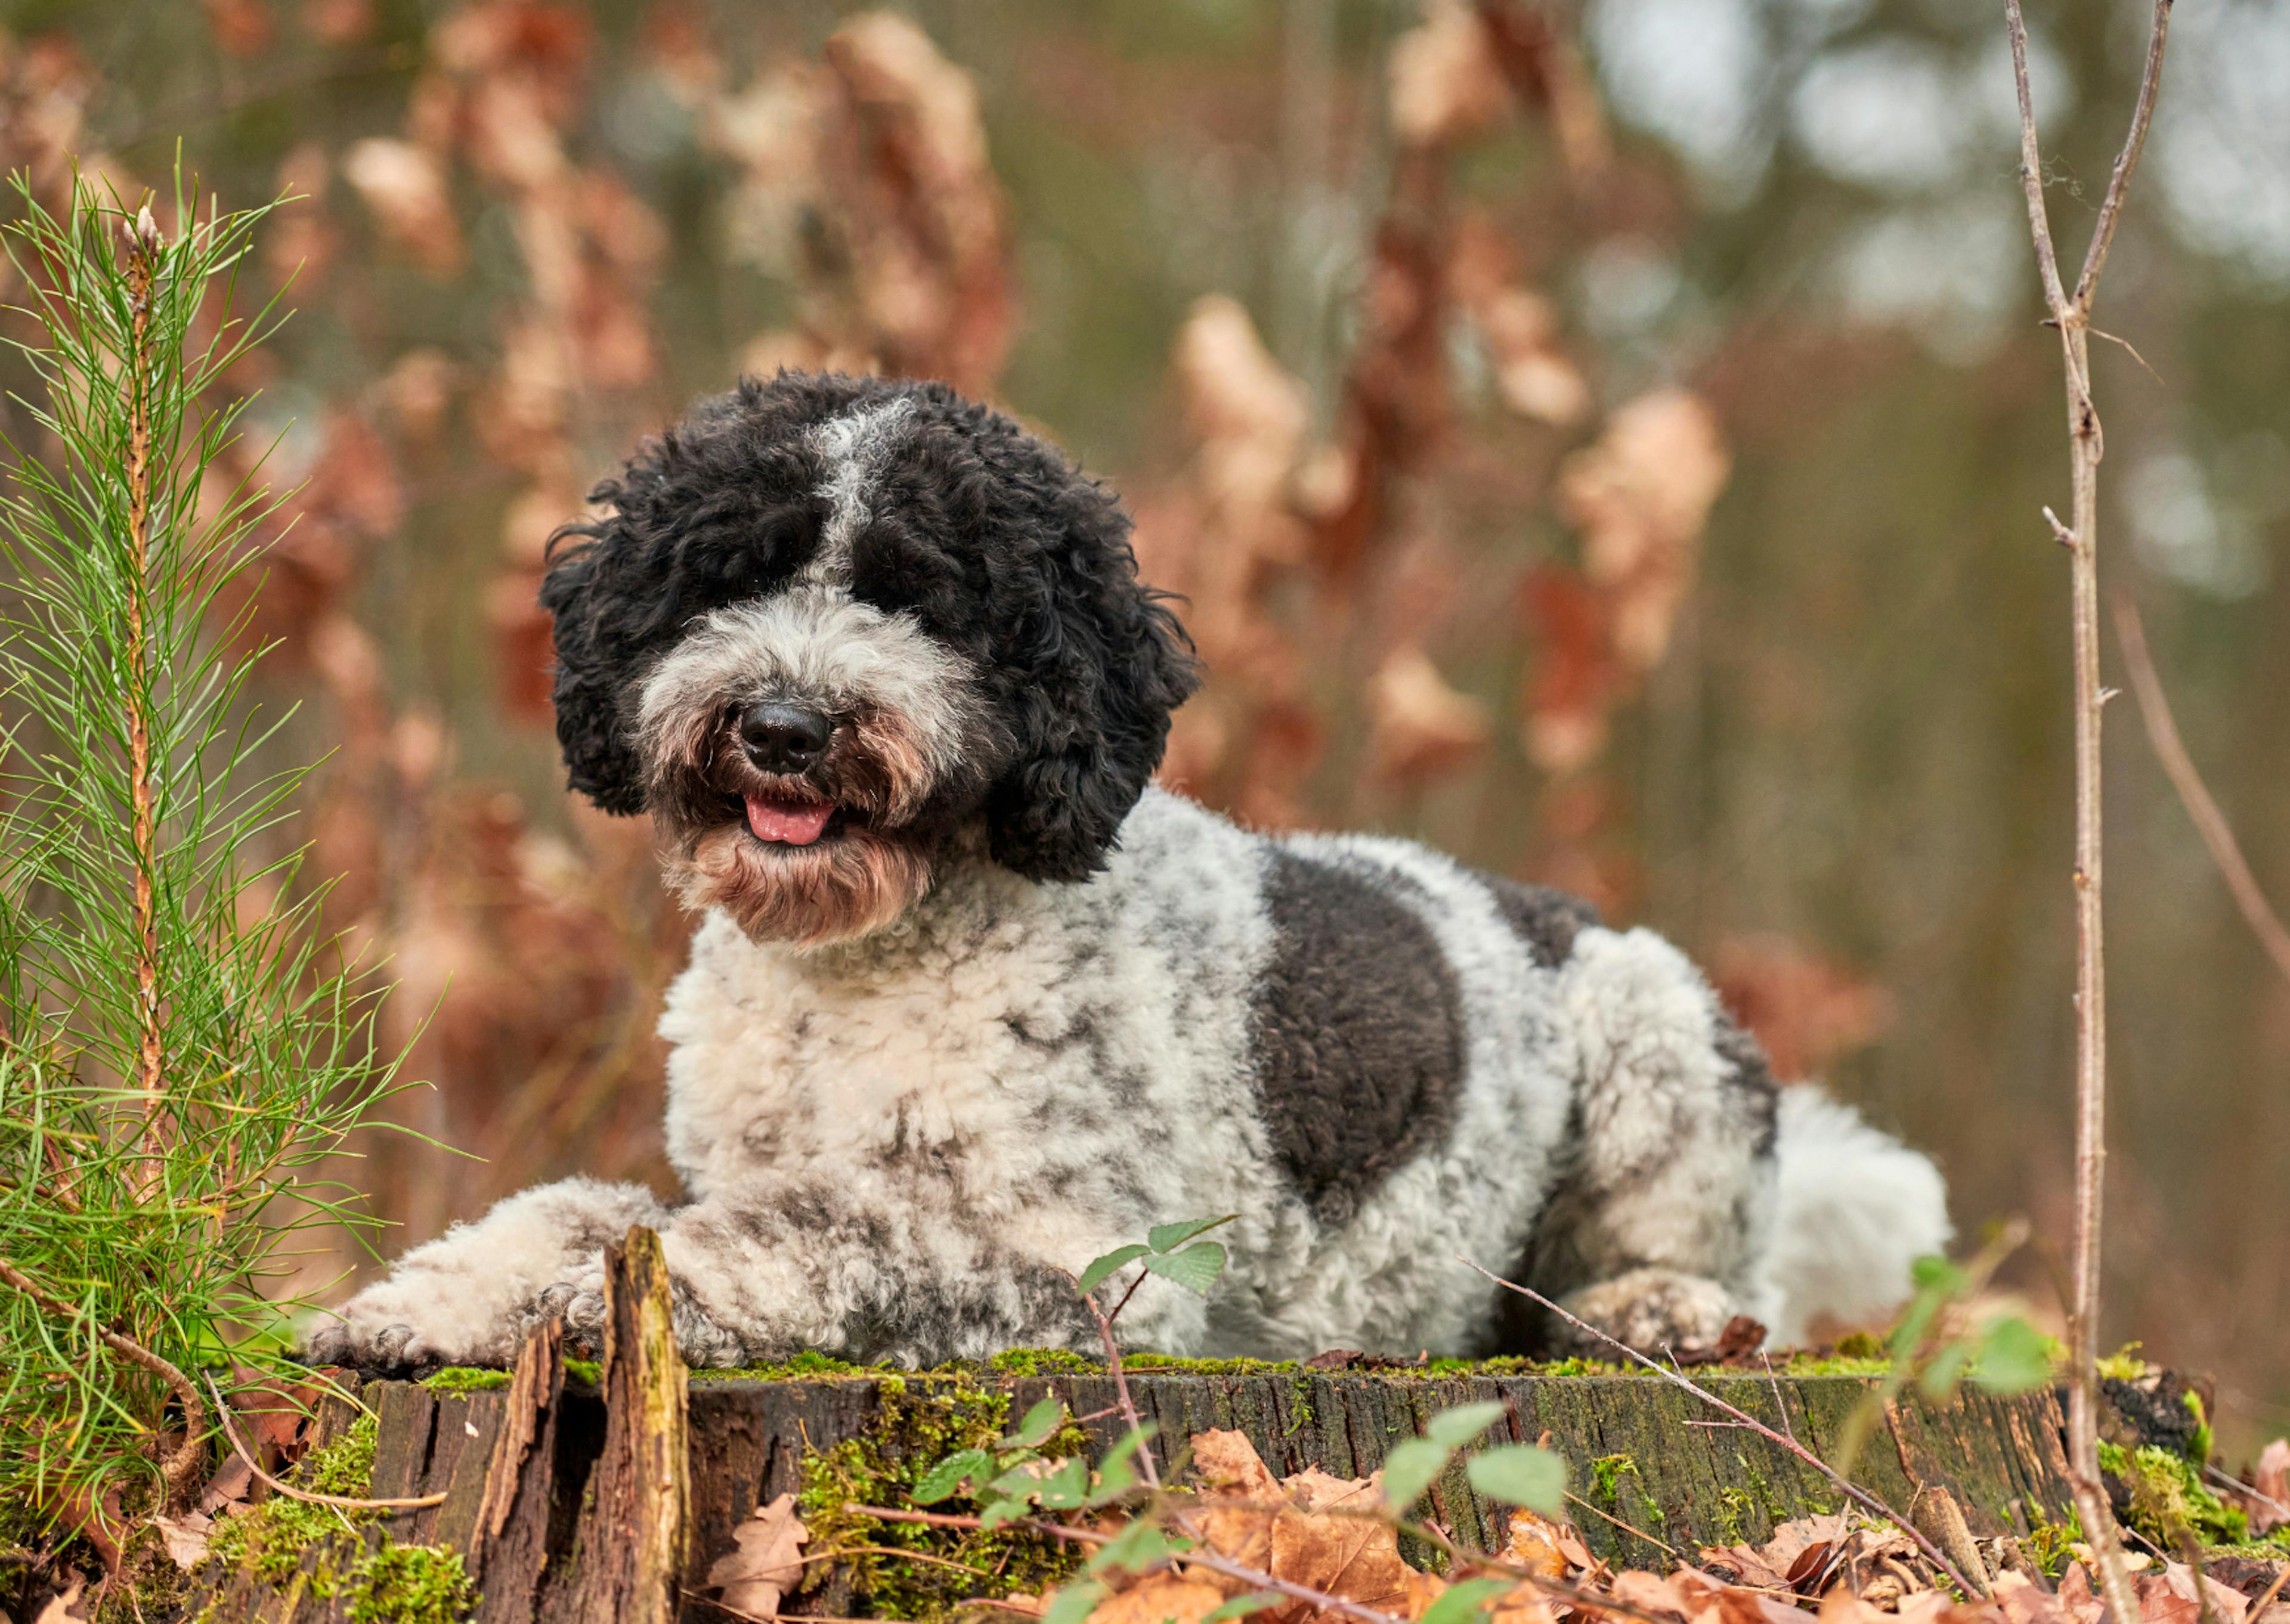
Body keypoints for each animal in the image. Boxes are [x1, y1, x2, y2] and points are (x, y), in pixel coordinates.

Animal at [304, 371, 1951, 1365]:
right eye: (726, 575)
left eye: (923, 598)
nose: (783, 726)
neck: (861, 973)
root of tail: (1554, 911)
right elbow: (589, 1212)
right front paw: (421, 1300)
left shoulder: (1091, 1258)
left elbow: (801, 1232)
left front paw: (591, 1304)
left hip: (1659, 1048)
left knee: (1736, 1276)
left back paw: (1654, 1303)